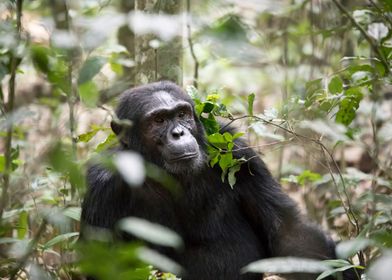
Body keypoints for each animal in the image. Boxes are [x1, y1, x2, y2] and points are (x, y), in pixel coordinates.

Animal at [80, 80, 358, 278]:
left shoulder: (238, 152)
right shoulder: (103, 185)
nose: (178, 133)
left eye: (182, 114)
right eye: (158, 120)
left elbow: (289, 235)